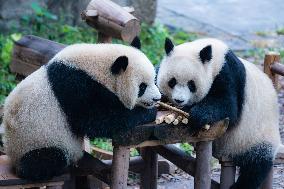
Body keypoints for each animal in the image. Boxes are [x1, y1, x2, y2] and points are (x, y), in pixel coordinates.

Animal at [2, 37, 161, 180]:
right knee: (45, 160)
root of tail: (12, 155)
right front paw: (148, 112)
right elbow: (97, 121)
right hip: (36, 141)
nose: (157, 98)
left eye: (154, 79)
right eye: (142, 87)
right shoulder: (76, 87)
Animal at [156, 37, 282, 188]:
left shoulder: (228, 74)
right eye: (172, 81)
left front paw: (196, 115)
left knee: (256, 166)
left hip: (257, 136)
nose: (179, 100)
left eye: (191, 84)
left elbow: (228, 106)